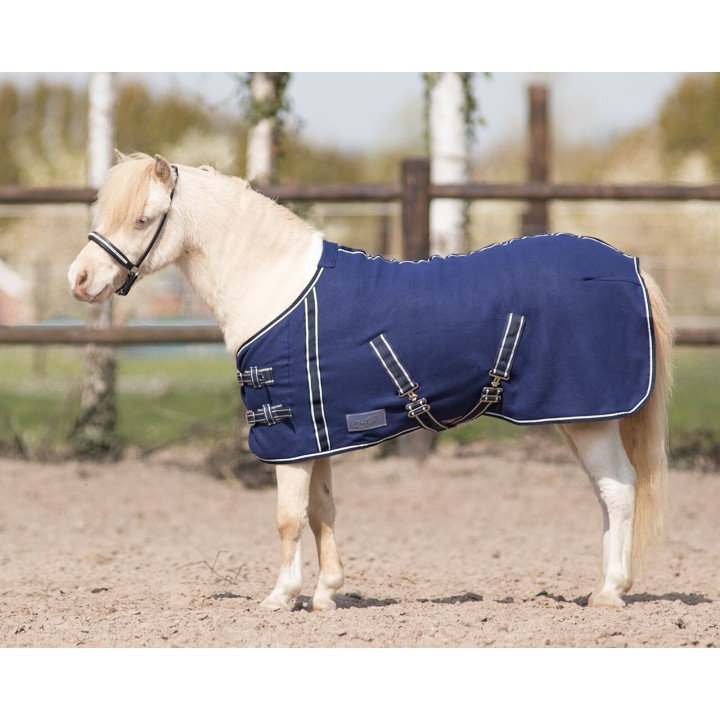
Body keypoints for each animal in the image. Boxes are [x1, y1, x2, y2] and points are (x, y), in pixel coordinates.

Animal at [68, 151, 674, 611]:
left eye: (143, 219)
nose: (80, 279)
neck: (275, 286)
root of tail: (630, 267)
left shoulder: (288, 437)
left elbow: (288, 518)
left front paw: (281, 598)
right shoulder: (315, 434)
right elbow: (321, 511)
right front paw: (326, 594)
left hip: (588, 417)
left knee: (618, 491)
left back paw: (609, 594)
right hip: (578, 418)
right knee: (607, 494)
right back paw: (603, 588)